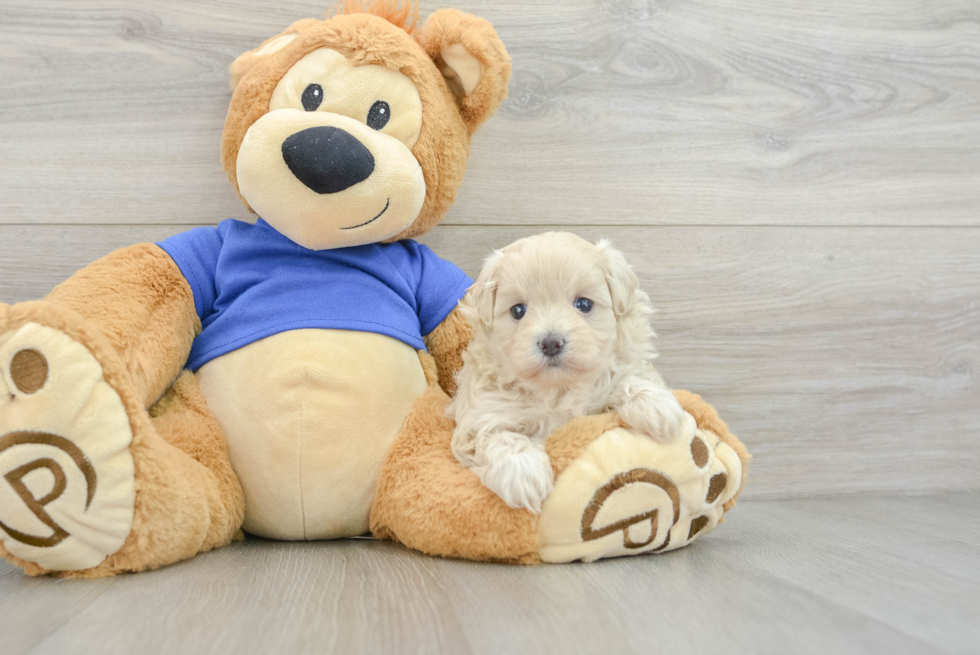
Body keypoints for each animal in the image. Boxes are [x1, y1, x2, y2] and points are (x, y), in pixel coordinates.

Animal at [448, 233, 684, 516]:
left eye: (583, 304)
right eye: (518, 311)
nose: (551, 343)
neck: (557, 390)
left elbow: (628, 377)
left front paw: (656, 409)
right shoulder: (481, 418)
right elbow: (501, 438)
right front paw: (524, 476)